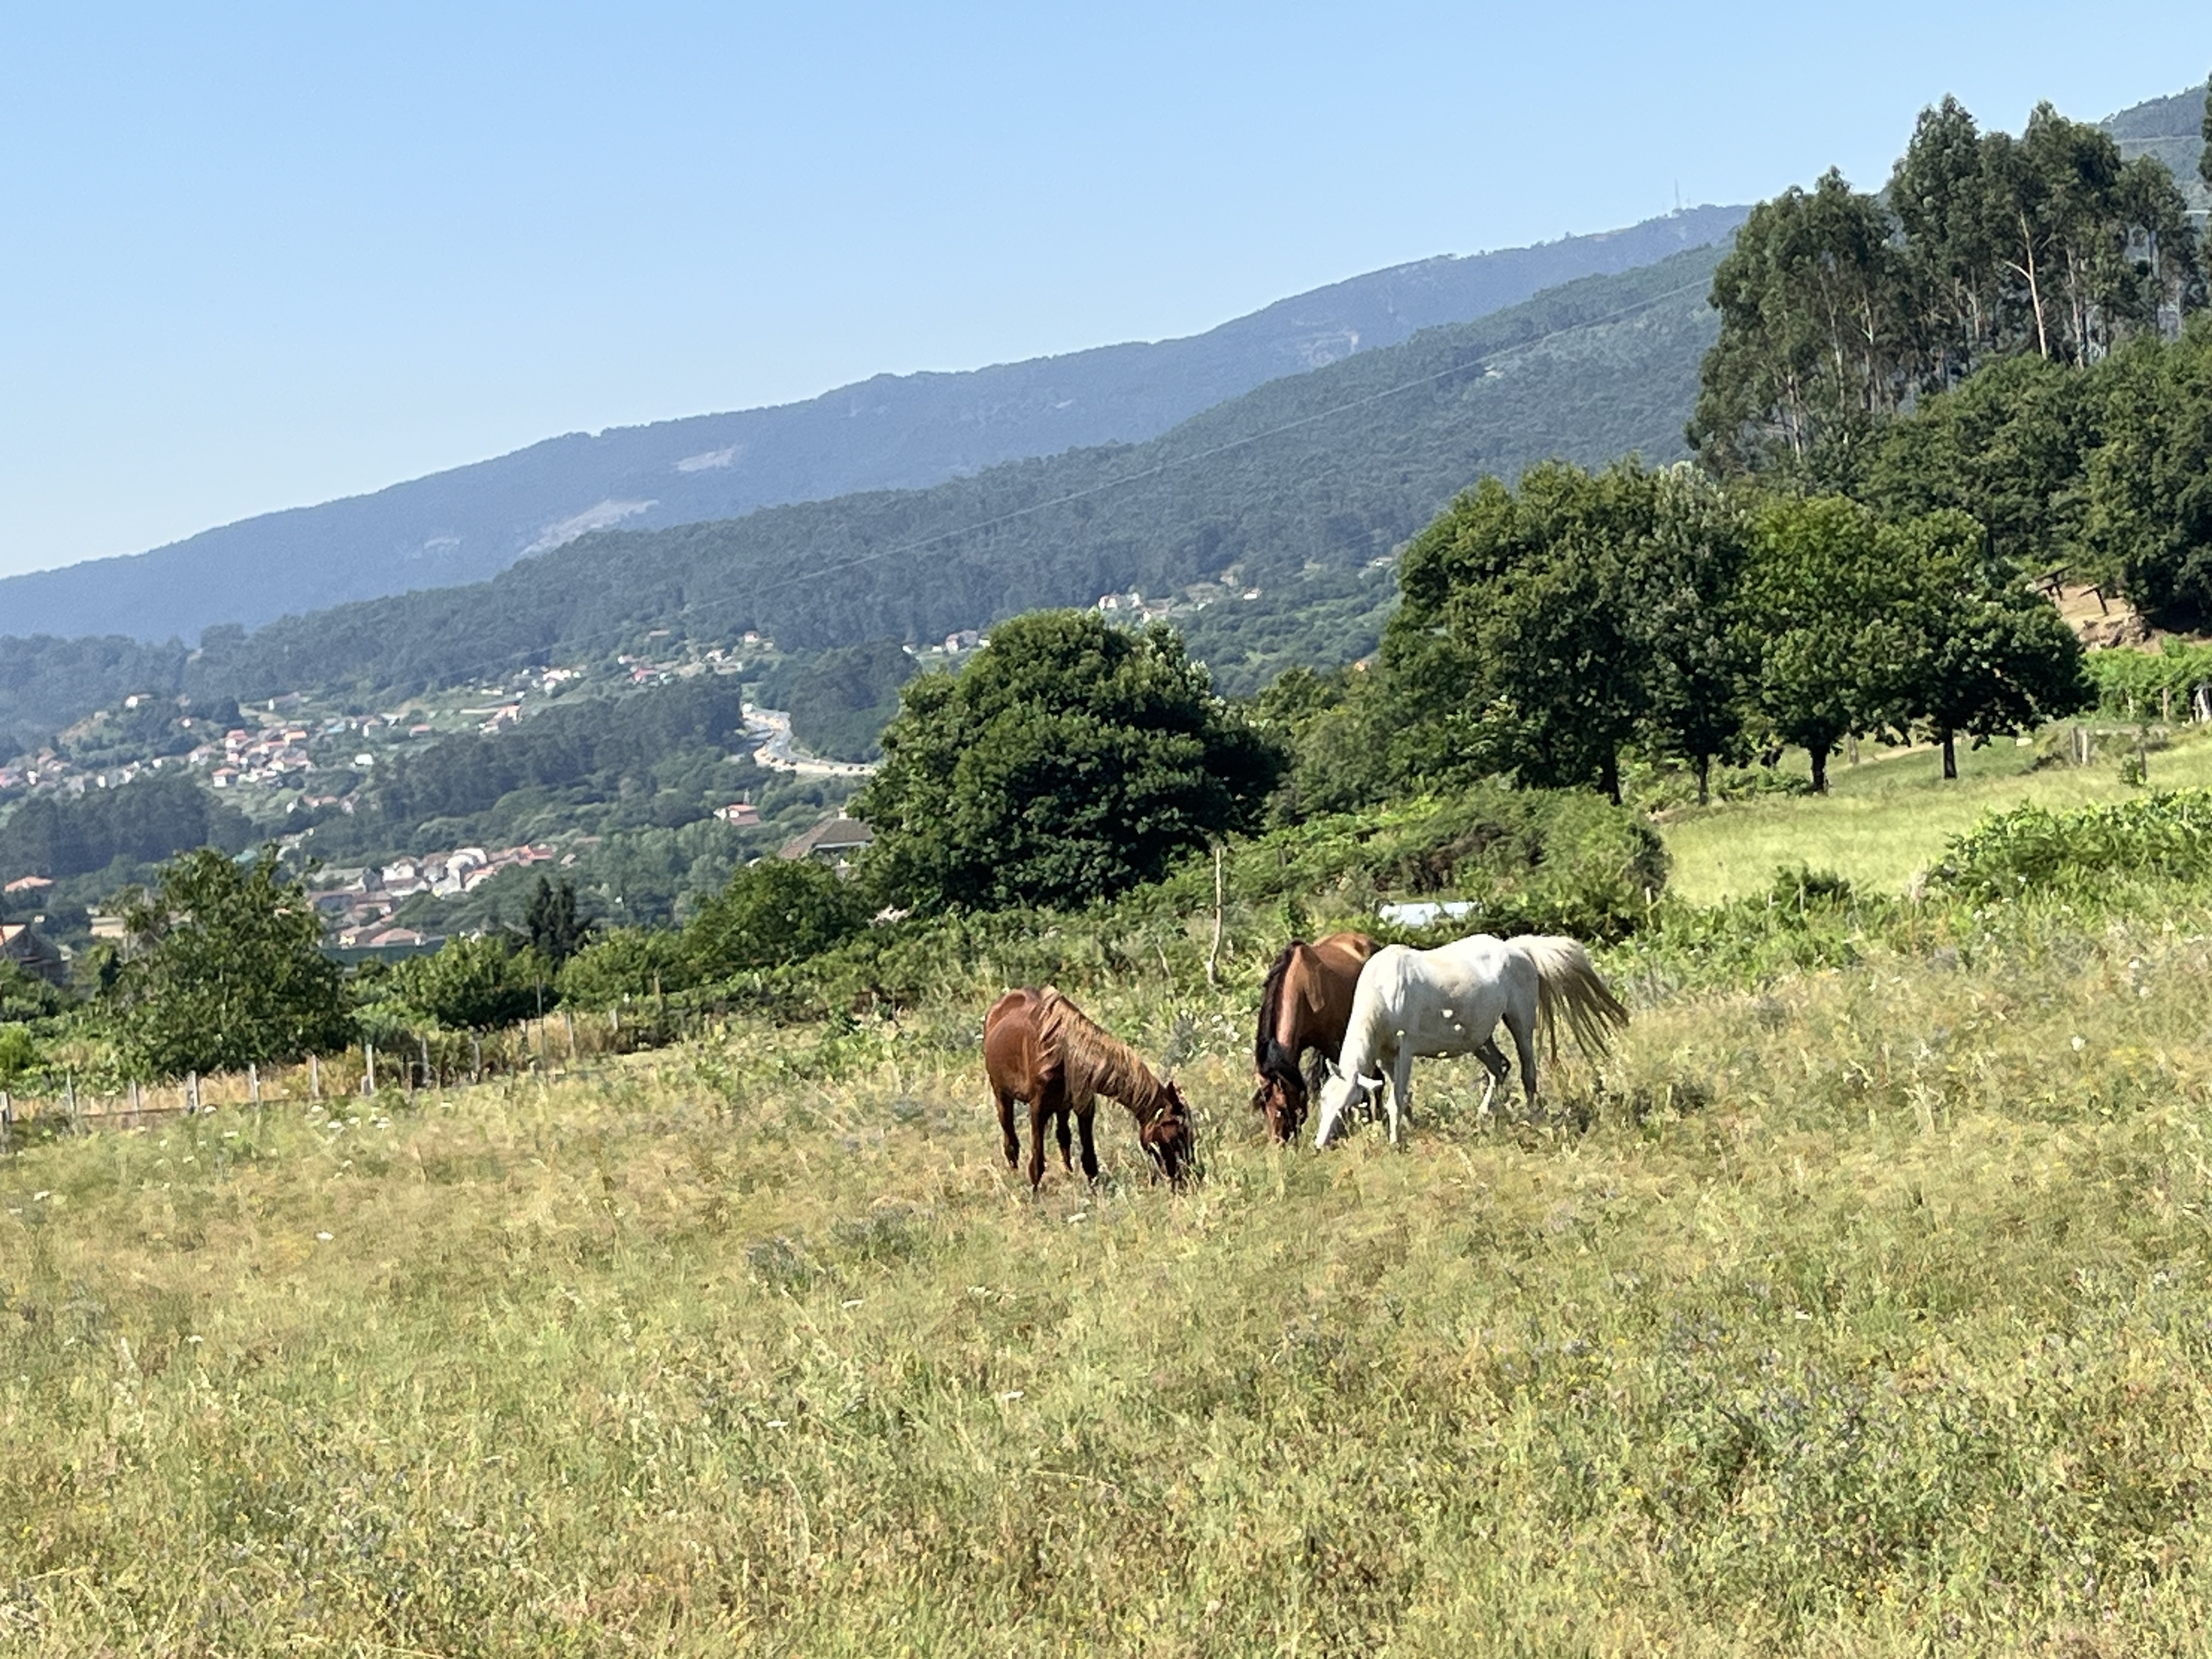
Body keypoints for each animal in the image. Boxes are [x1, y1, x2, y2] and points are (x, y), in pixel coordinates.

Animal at [984, 987, 1195, 1191]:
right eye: (1175, 1137)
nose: (1186, 1178)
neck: (1061, 1050)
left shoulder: (1084, 1105)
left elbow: (1089, 1157)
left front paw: (1094, 1191)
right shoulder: (1037, 1108)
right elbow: (1037, 1160)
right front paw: (1035, 1193)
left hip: (1062, 1106)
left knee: (1063, 1137)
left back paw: (1069, 1174)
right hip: (1001, 1093)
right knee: (1010, 1139)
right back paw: (1014, 1174)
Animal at [1314, 934, 1628, 1149]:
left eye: (1347, 1107)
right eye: (1323, 1101)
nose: (1320, 1145)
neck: (1384, 991)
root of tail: (1518, 950)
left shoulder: (1405, 1052)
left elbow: (1397, 1099)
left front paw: (1395, 1142)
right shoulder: (1386, 1056)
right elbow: (1403, 1097)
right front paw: (1410, 1128)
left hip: (1521, 1024)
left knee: (1528, 1071)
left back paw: (1532, 1117)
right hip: (1480, 1040)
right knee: (1499, 1068)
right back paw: (1484, 1115)